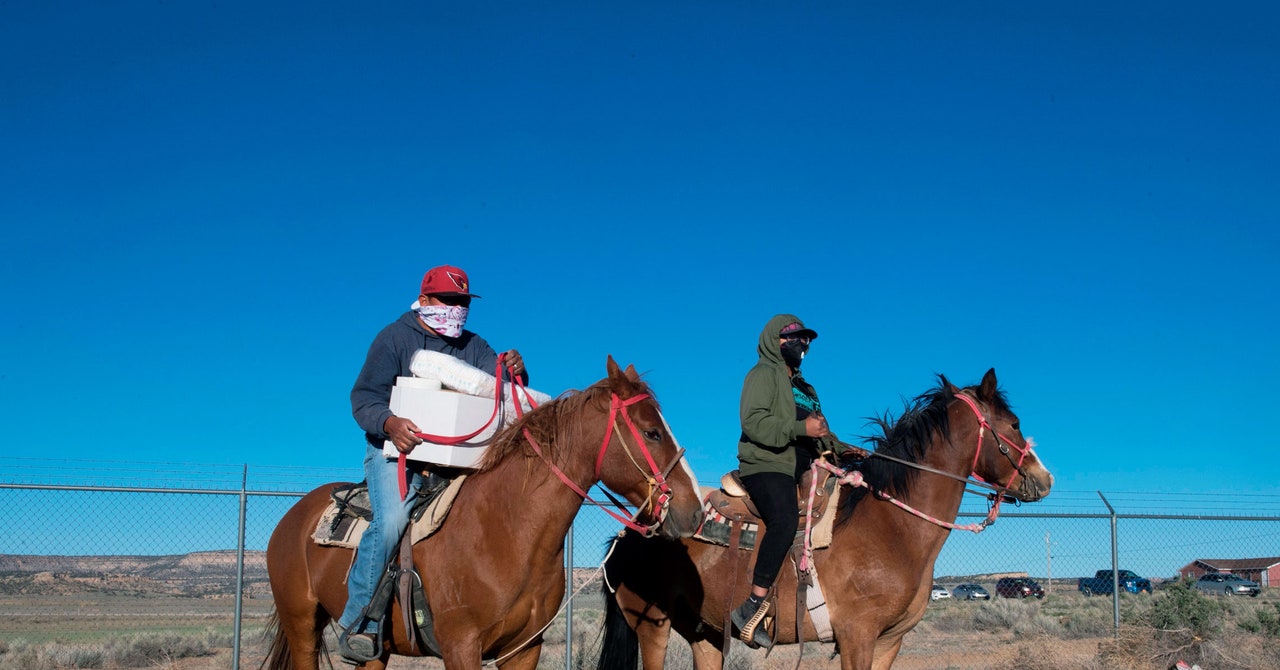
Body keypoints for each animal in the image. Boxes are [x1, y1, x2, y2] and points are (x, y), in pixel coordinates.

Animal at [259, 358, 701, 670]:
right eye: (652, 433)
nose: (693, 510)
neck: (506, 531)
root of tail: (293, 516)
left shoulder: (523, 649)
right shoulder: (461, 646)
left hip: (375, 650)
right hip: (301, 624)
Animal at [593, 368, 1054, 670]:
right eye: (1014, 424)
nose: (1044, 478)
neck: (893, 526)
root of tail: (627, 536)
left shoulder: (889, 641)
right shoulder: (856, 636)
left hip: (703, 634)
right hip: (651, 629)